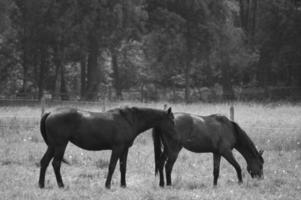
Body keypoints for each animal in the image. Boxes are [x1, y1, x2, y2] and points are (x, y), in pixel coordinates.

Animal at [37, 107, 175, 188]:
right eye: (172, 120)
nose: (175, 136)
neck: (129, 120)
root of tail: (50, 113)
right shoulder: (117, 148)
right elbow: (112, 166)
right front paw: (107, 185)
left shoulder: (125, 149)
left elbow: (123, 167)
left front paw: (123, 185)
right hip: (60, 145)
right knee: (56, 163)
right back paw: (61, 185)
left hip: (52, 146)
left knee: (44, 162)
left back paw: (41, 184)